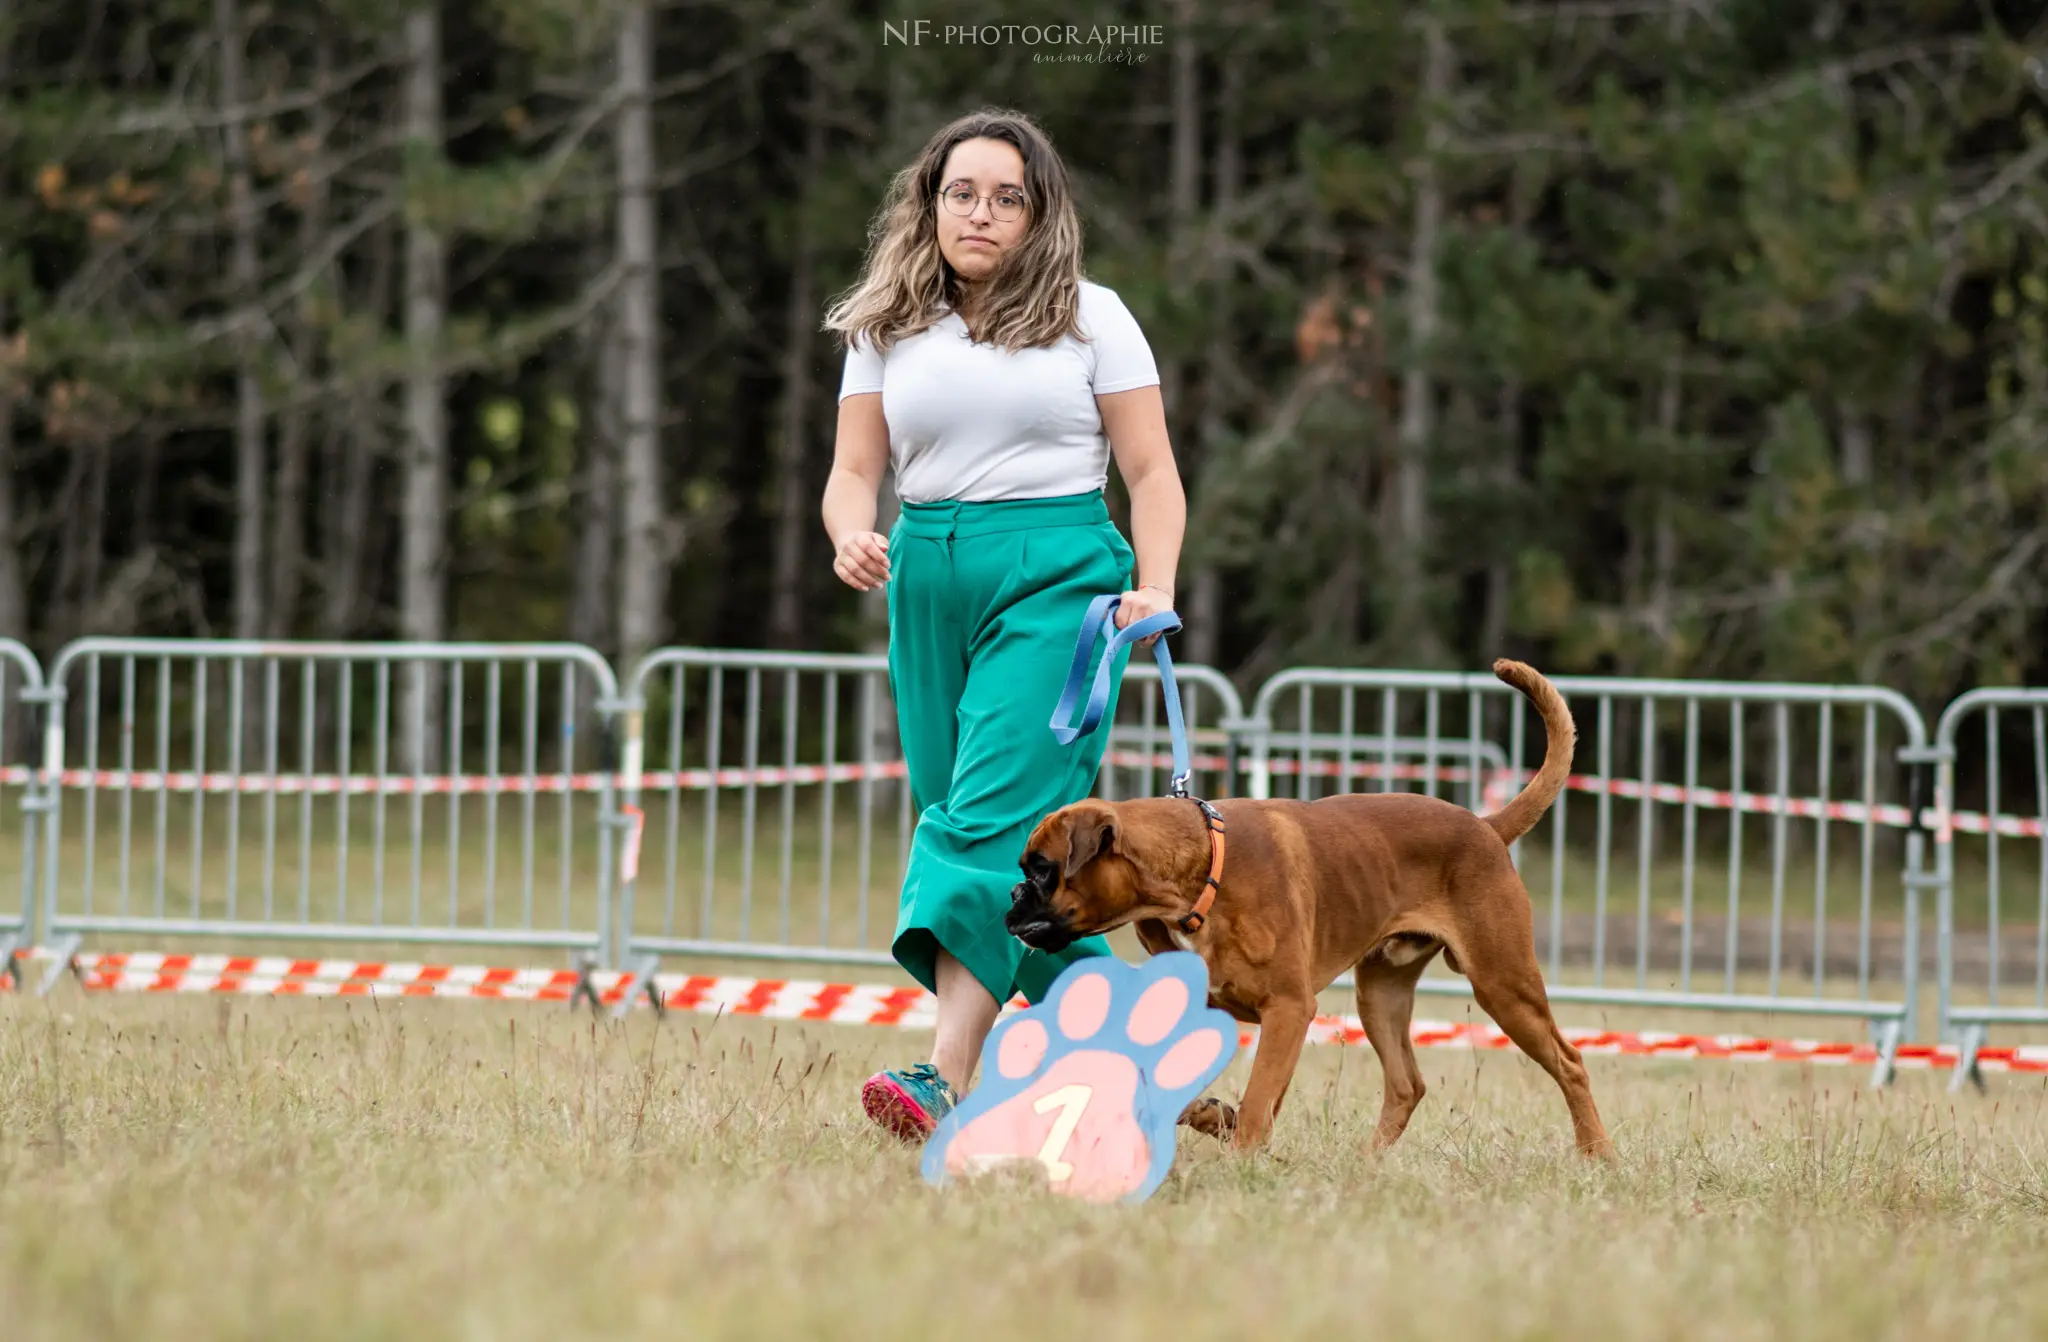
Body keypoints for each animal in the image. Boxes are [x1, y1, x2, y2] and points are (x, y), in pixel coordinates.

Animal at [1007, 659, 1613, 1155]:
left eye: (1041, 870)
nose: (1012, 896)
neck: (1202, 873)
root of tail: (1486, 827)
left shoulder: (1288, 1009)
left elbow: (1258, 1100)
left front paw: (1240, 1156)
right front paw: (1207, 1116)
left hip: (1503, 984)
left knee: (1570, 1062)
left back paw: (1597, 1155)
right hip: (1382, 995)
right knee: (1406, 1084)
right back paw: (1368, 1165)